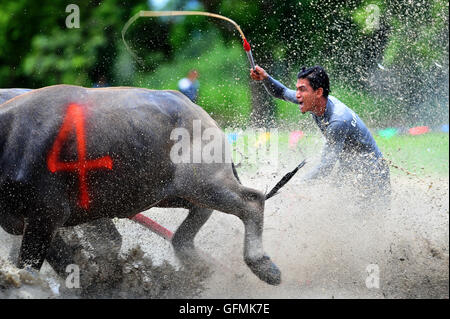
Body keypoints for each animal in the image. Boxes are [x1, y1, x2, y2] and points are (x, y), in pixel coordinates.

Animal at [0, 84, 282, 284]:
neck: (10, 136)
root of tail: (194, 109)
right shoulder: (38, 224)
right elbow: (70, 265)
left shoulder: (46, 216)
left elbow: (32, 268)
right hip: (169, 193)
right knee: (193, 222)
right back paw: (197, 266)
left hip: (203, 182)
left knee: (252, 201)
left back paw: (263, 265)